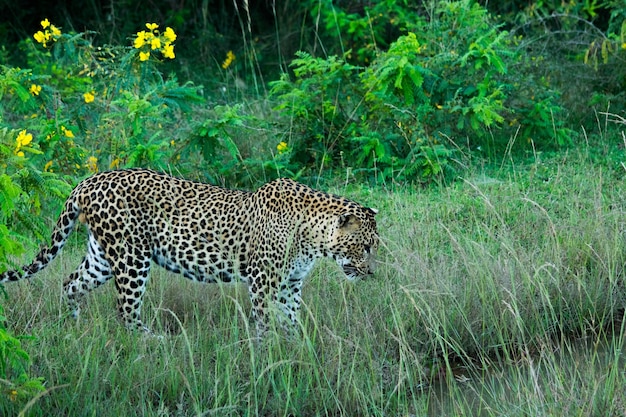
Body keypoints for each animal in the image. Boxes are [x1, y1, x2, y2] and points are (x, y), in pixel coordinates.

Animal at [0, 167, 378, 334]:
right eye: (365, 246)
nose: (371, 272)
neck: (312, 236)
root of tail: (88, 181)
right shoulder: (263, 281)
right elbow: (265, 320)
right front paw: (269, 352)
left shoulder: (291, 283)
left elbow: (291, 317)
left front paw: (296, 345)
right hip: (131, 257)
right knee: (125, 308)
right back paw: (150, 342)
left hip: (102, 257)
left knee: (70, 283)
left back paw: (73, 327)